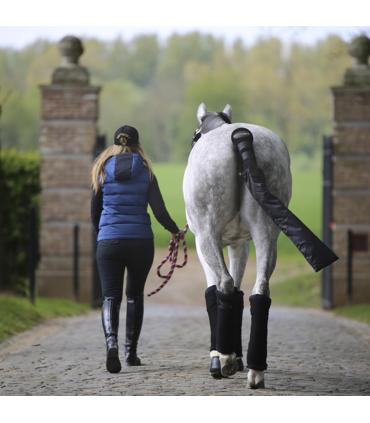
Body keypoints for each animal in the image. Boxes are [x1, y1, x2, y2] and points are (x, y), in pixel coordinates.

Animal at [183, 102, 292, 388]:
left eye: (194, 135)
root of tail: (241, 136)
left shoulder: (205, 243)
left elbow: (215, 291)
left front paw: (220, 356)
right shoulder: (239, 245)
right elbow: (239, 294)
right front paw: (238, 356)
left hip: (207, 236)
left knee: (224, 284)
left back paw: (224, 359)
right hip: (267, 233)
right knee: (259, 291)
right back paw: (255, 370)